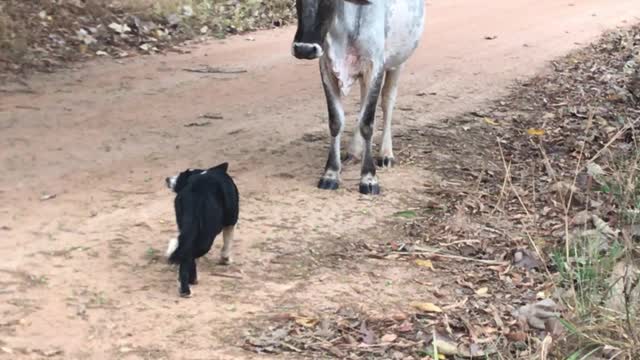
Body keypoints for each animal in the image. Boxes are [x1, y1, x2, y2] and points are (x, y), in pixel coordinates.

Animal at [164, 163, 239, 298]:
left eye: (181, 175)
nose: (167, 179)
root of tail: (194, 193)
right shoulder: (231, 221)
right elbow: (227, 242)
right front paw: (225, 259)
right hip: (207, 236)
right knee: (189, 255)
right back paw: (187, 287)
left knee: (187, 253)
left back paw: (186, 285)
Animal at [292, 0, 422, 194]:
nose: (304, 49)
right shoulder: (326, 67)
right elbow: (336, 121)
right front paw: (331, 174)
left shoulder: (375, 67)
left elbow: (367, 123)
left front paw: (369, 178)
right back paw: (354, 151)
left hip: (398, 61)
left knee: (387, 101)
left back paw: (386, 154)